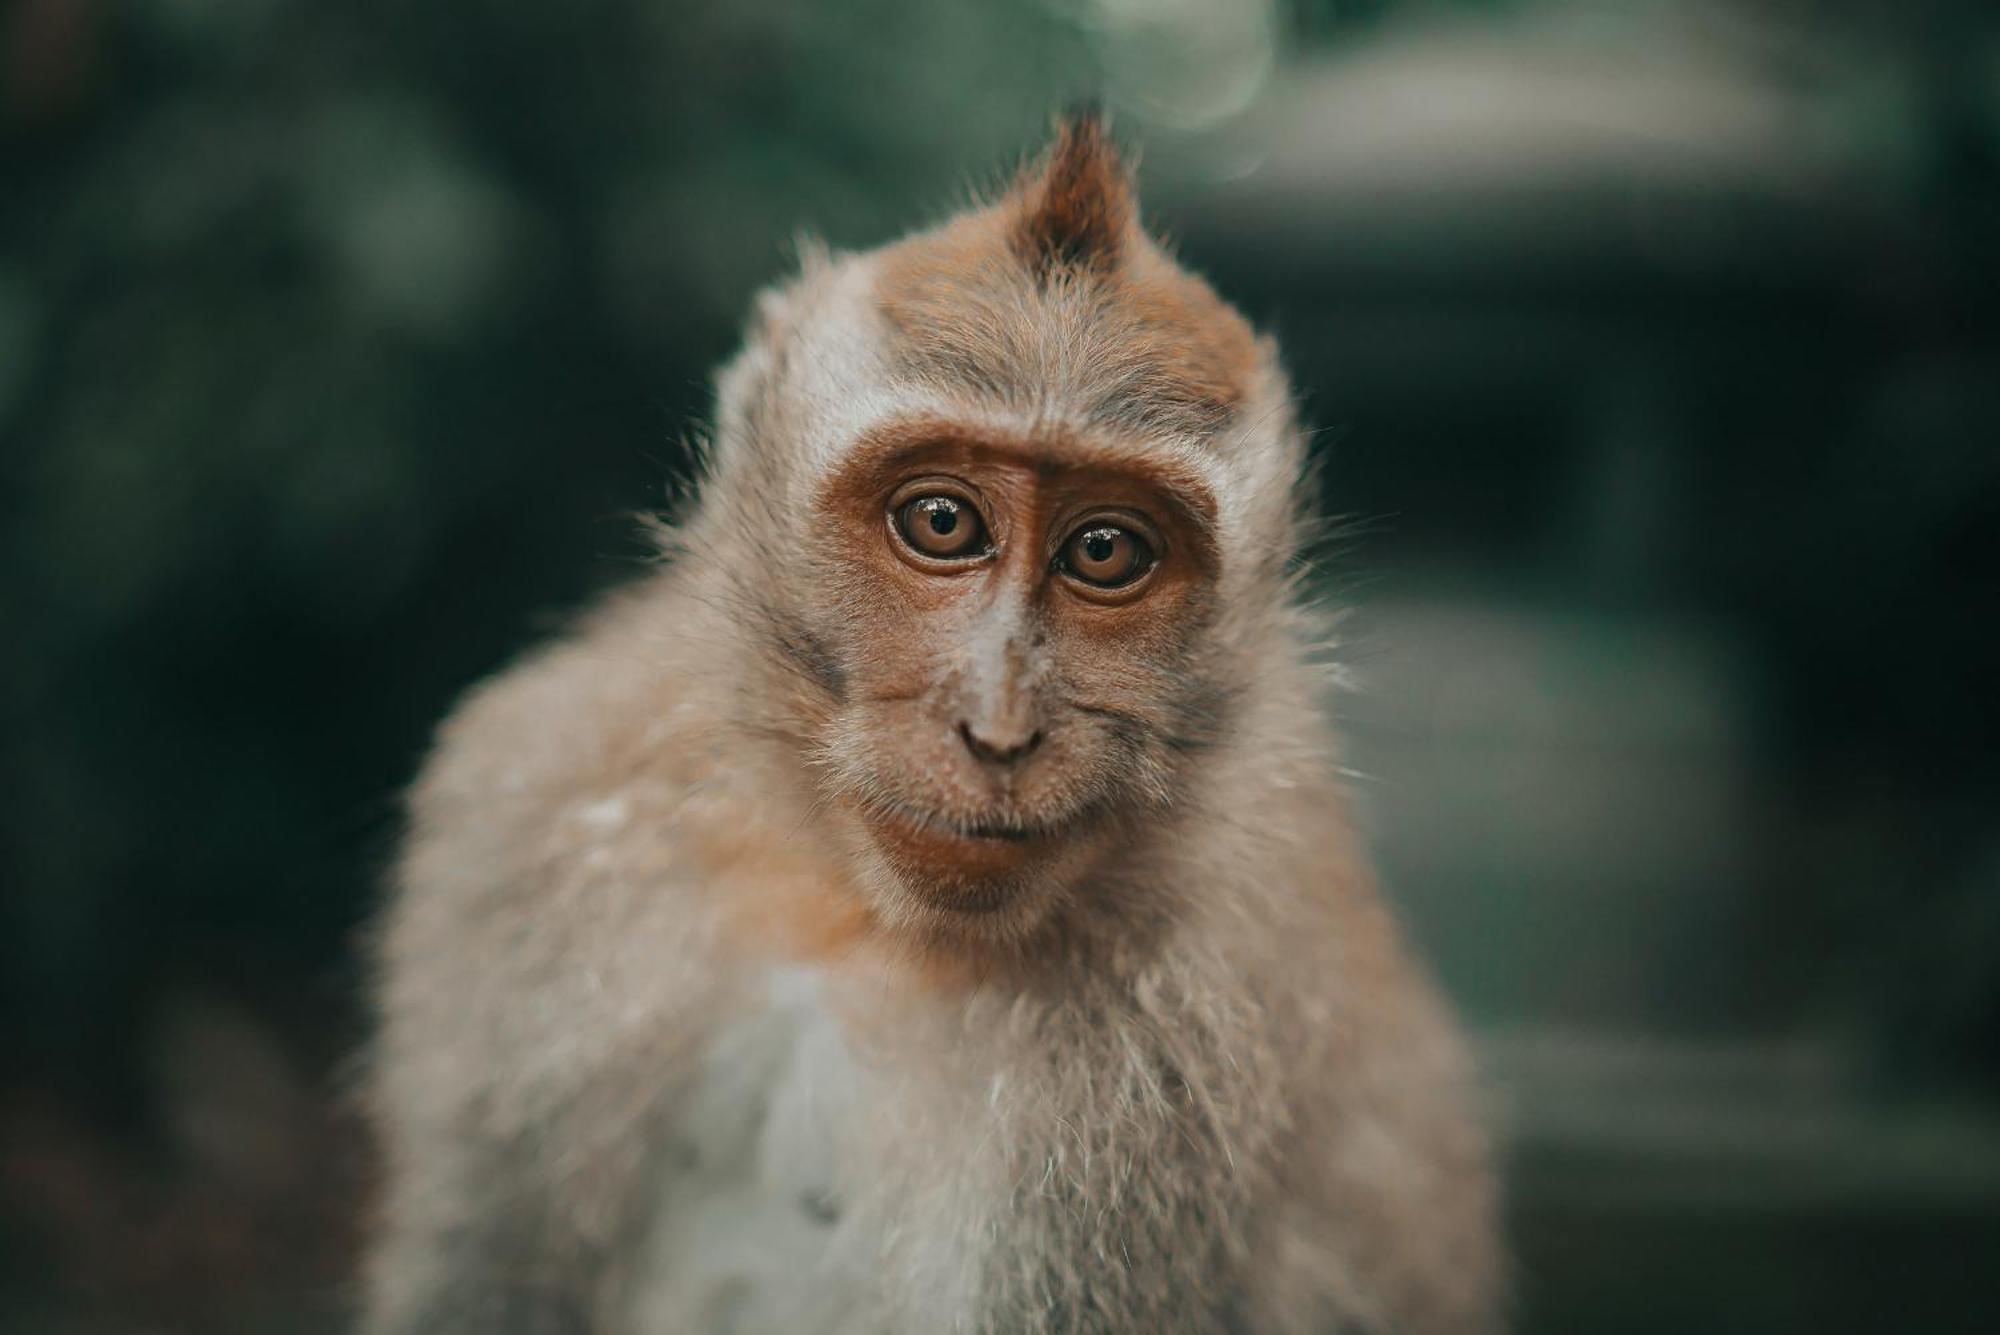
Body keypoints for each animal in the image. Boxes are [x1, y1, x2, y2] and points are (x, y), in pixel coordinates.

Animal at [360, 117, 1504, 1335]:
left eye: (1105, 550)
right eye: (943, 521)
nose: (997, 729)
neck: (856, 919)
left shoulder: (1181, 1054)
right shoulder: (540, 807)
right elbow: (482, 1267)